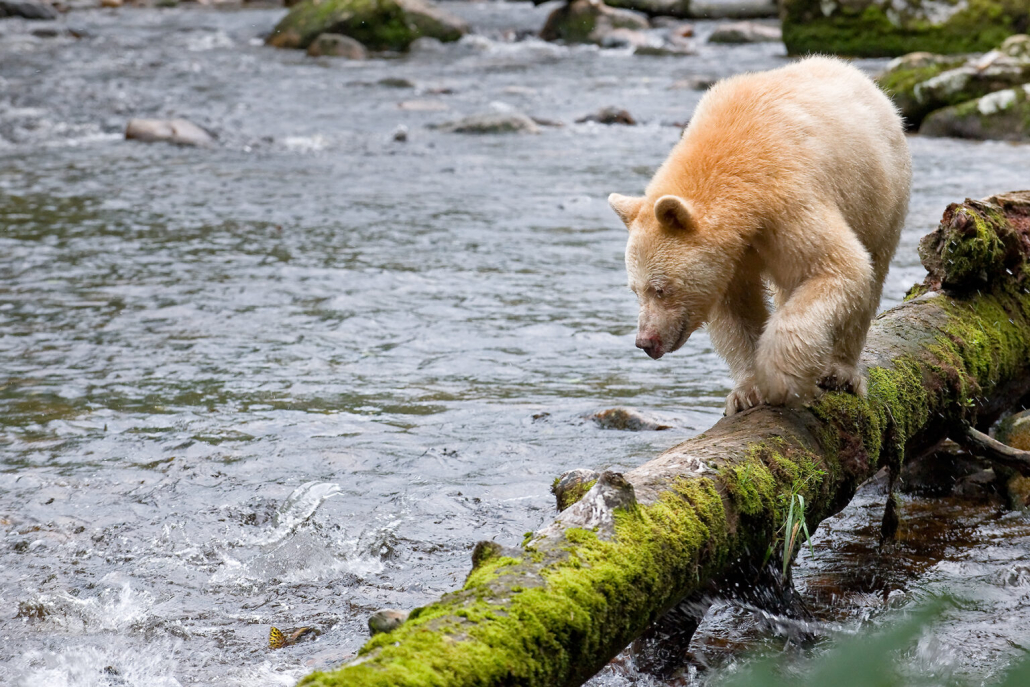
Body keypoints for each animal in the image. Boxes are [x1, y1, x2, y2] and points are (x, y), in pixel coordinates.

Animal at [605, 57, 914, 414]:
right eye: (634, 290)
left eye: (660, 289)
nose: (645, 341)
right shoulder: (733, 257)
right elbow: (738, 310)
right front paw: (746, 392)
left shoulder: (789, 202)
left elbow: (838, 266)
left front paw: (781, 379)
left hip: (881, 196)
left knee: (871, 276)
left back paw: (840, 372)